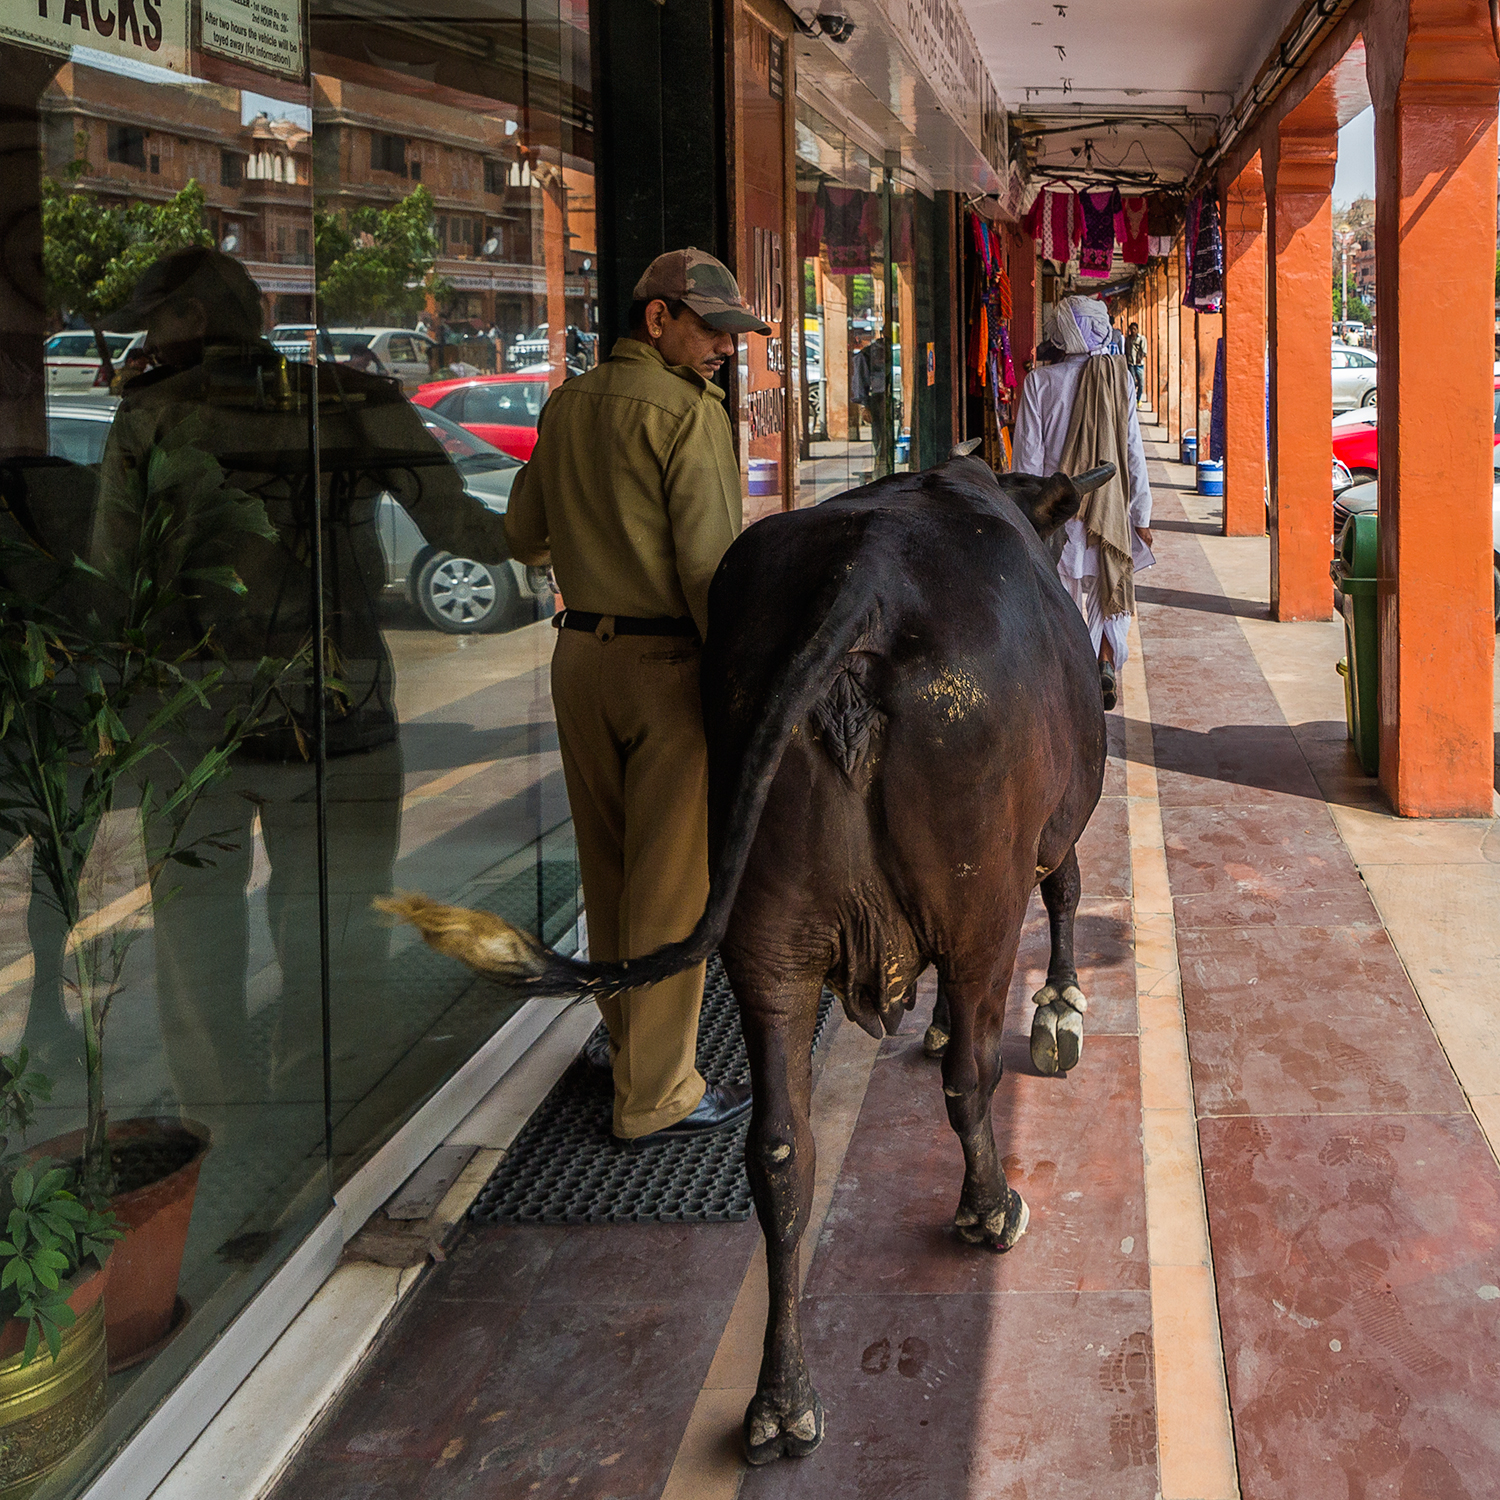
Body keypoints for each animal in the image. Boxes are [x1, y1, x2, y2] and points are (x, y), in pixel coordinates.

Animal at [378, 450, 1112, 1465]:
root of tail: (863, 585)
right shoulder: (1059, 815)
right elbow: (1068, 891)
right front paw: (1061, 1012)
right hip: (976, 899)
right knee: (969, 1076)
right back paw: (989, 1208)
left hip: (767, 942)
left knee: (779, 1150)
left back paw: (782, 1394)